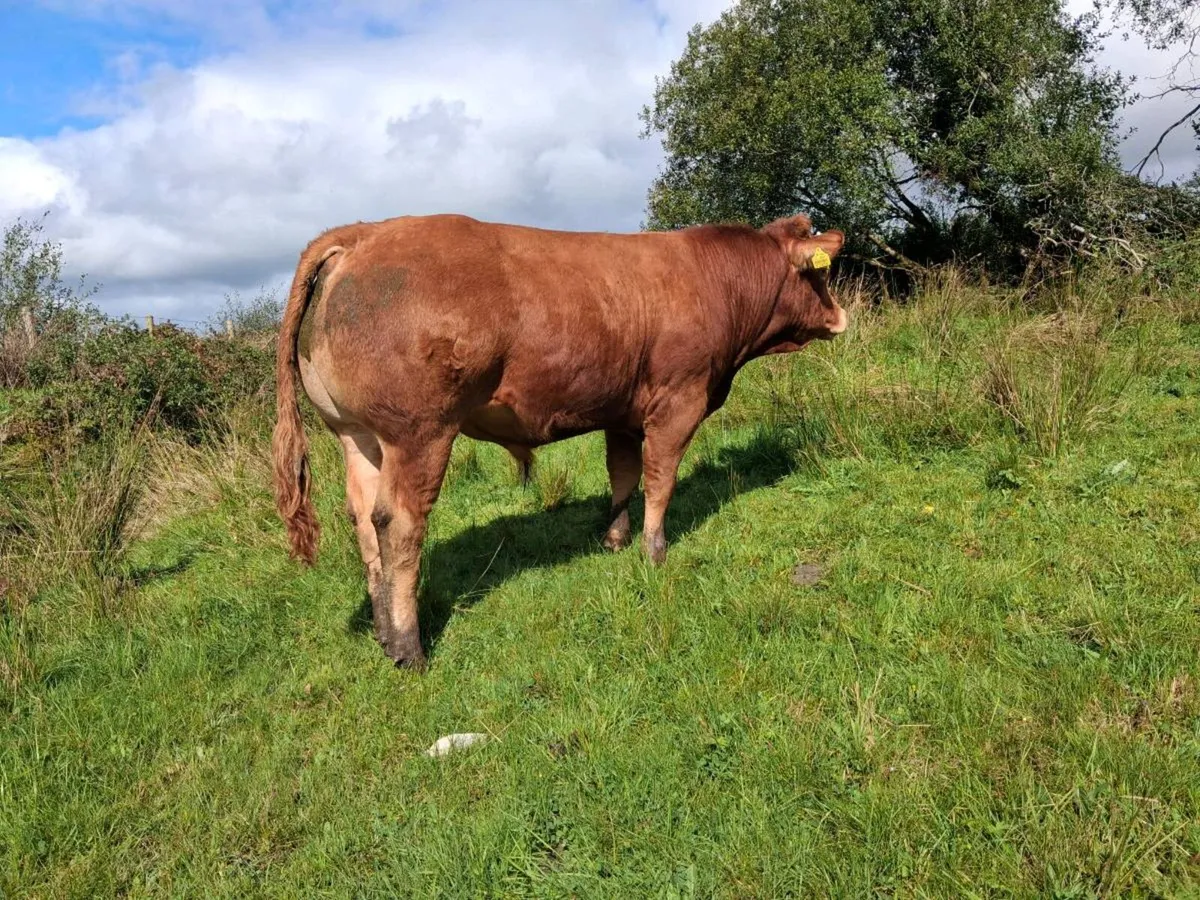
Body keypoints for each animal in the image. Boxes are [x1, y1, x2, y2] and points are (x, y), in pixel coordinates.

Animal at [273, 212, 848, 670]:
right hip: (419, 432)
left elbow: (623, 475)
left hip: (356, 435)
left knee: (363, 518)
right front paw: (654, 551)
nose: (840, 316)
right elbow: (661, 477)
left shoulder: (623, 411)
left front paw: (614, 539)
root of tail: (365, 232)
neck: (716, 280)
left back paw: (383, 631)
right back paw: (409, 647)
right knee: (398, 524)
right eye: (819, 273)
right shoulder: (679, 400)